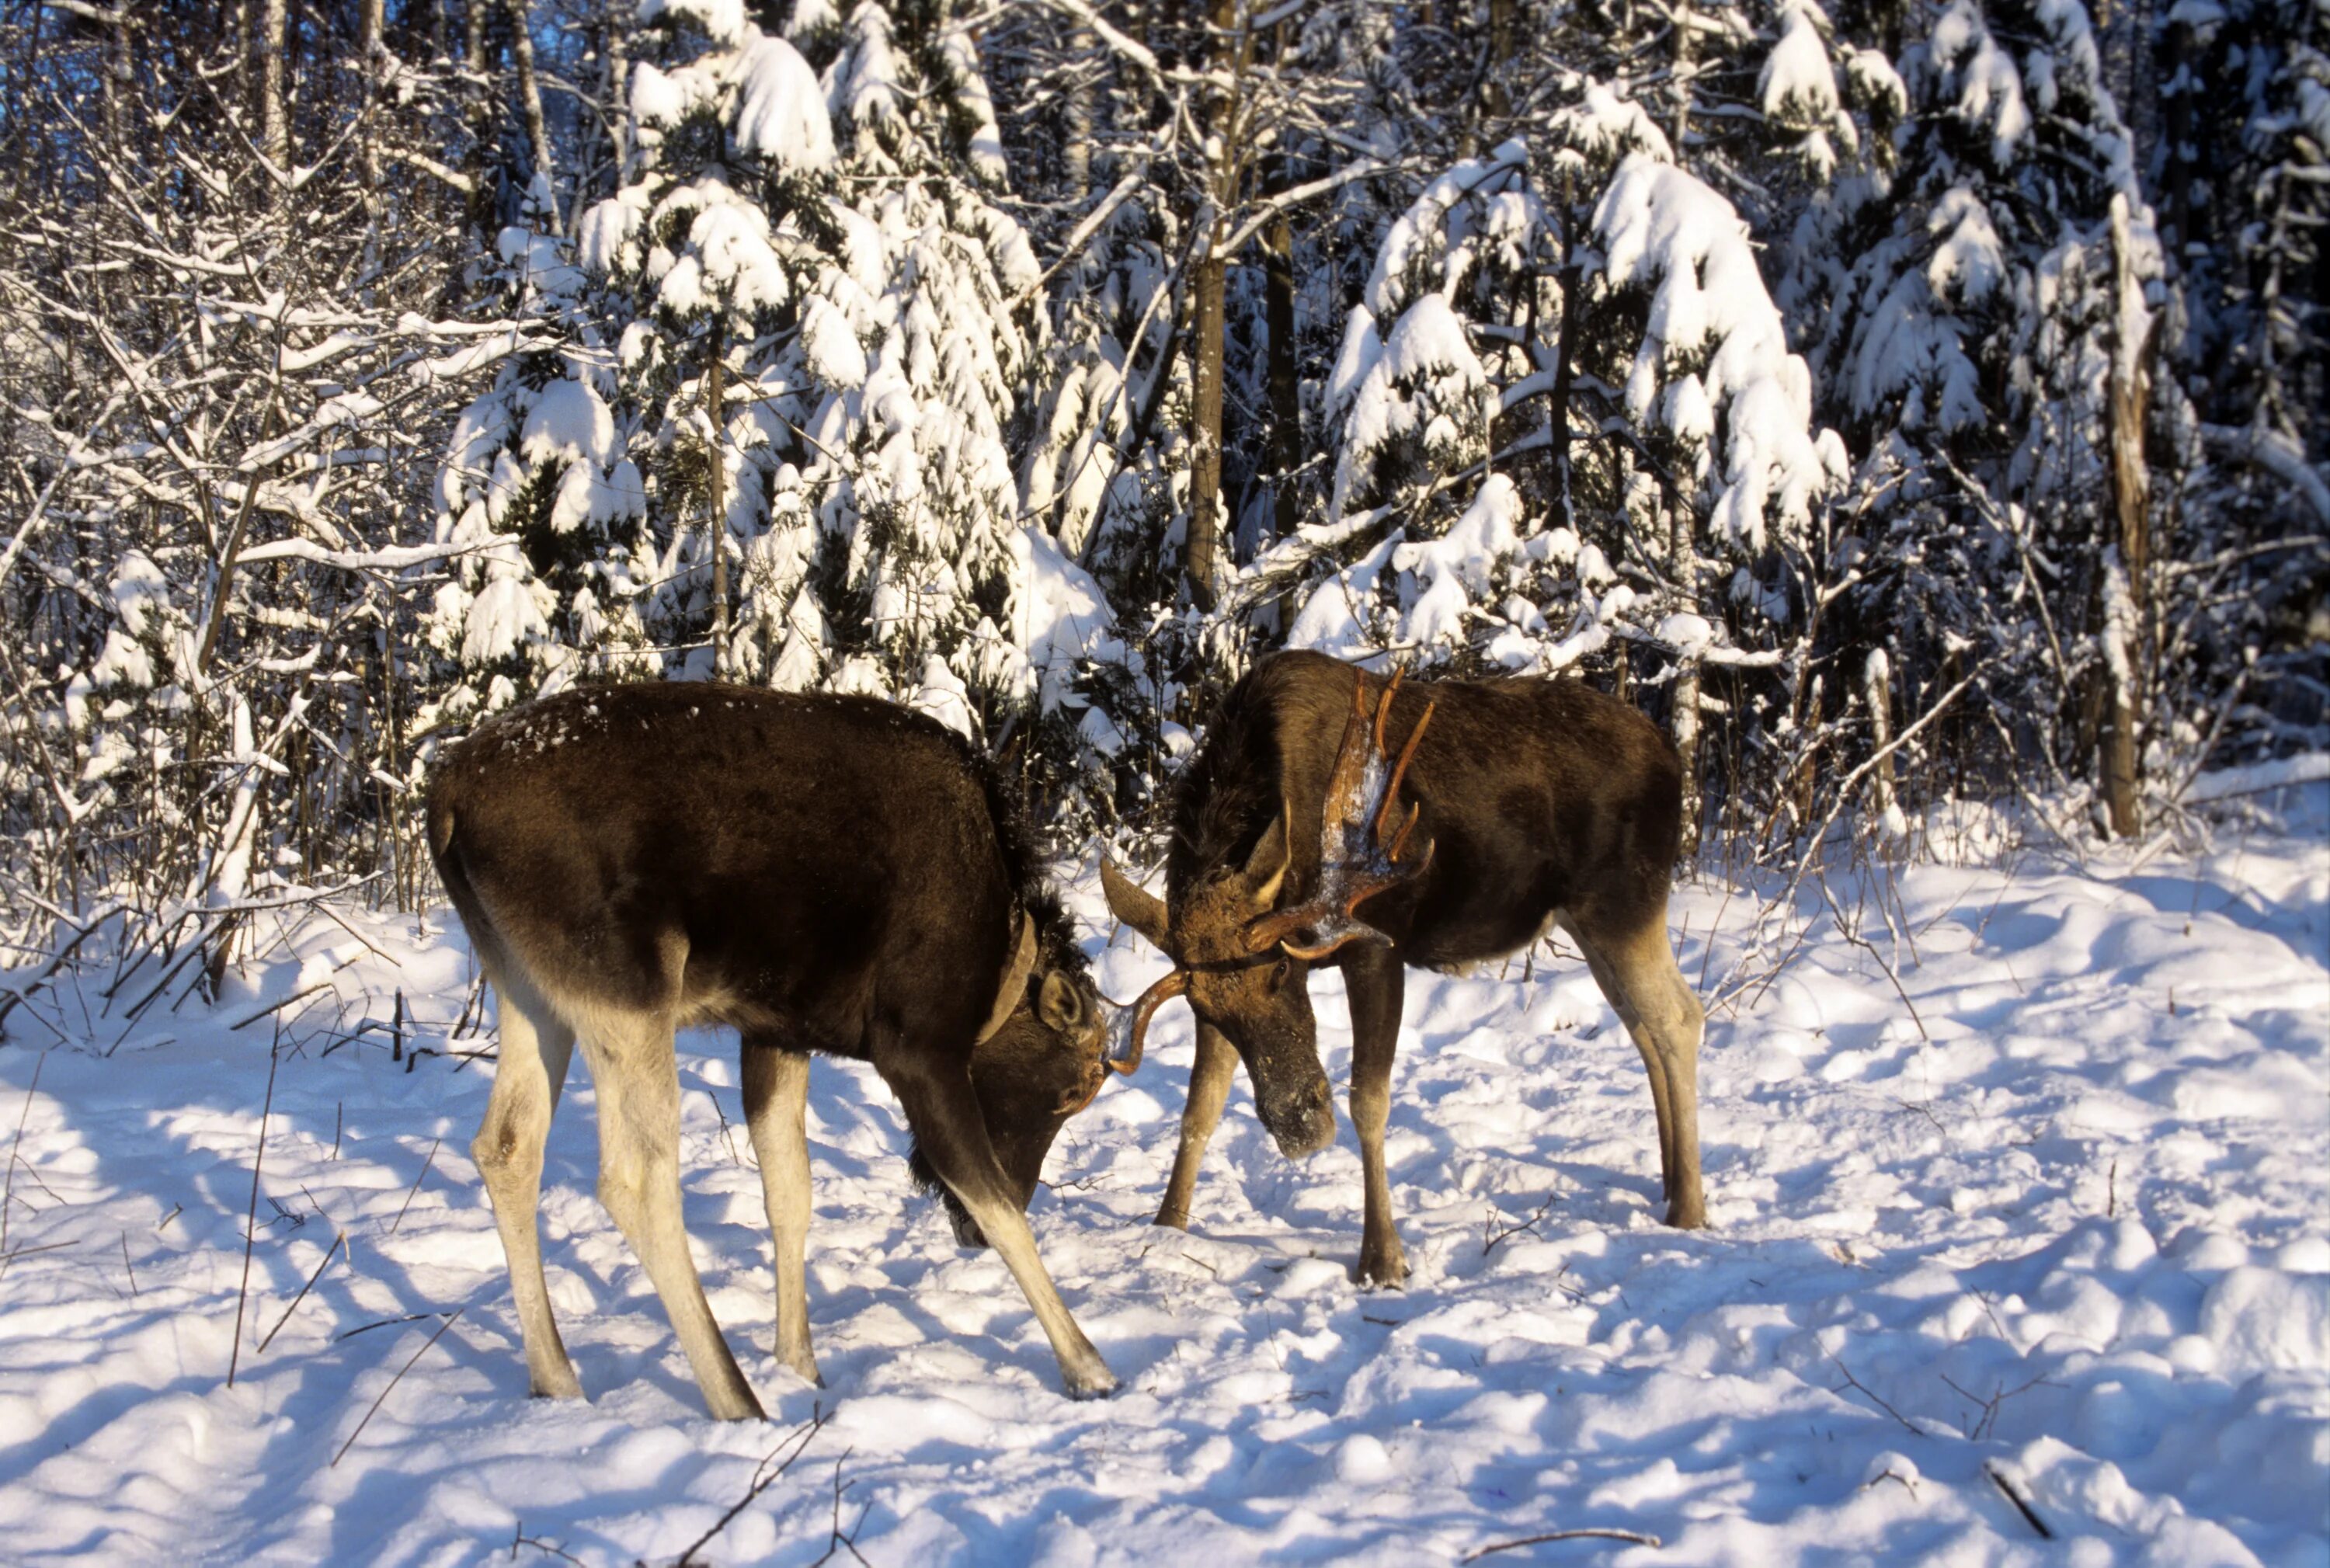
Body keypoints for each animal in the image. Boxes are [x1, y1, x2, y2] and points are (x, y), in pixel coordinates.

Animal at [433, 680, 1132, 1417]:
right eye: (1071, 1090)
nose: (962, 1236)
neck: (999, 959)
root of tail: (444, 802)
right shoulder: (917, 1047)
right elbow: (998, 1204)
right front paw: (1088, 1366)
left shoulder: (775, 1032)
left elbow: (790, 1192)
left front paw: (799, 1363)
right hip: (627, 990)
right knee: (635, 1180)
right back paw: (735, 1397)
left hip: (526, 987)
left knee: (507, 1146)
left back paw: (559, 1379)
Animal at [1100, 648, 1706, 1286]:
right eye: (1204, 1005)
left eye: (1280, 971)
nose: (1299, 1130)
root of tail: (1673, 759)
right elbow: (1200, 1105)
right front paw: (1166, 1224)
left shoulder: (1378, 940)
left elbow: (1368, 1101)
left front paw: (1383, 1258)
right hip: (1588, 922)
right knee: (1642, 1027)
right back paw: (1670, 1182)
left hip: (1623, 904)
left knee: (1678, 1017)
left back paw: (1690, 1205)